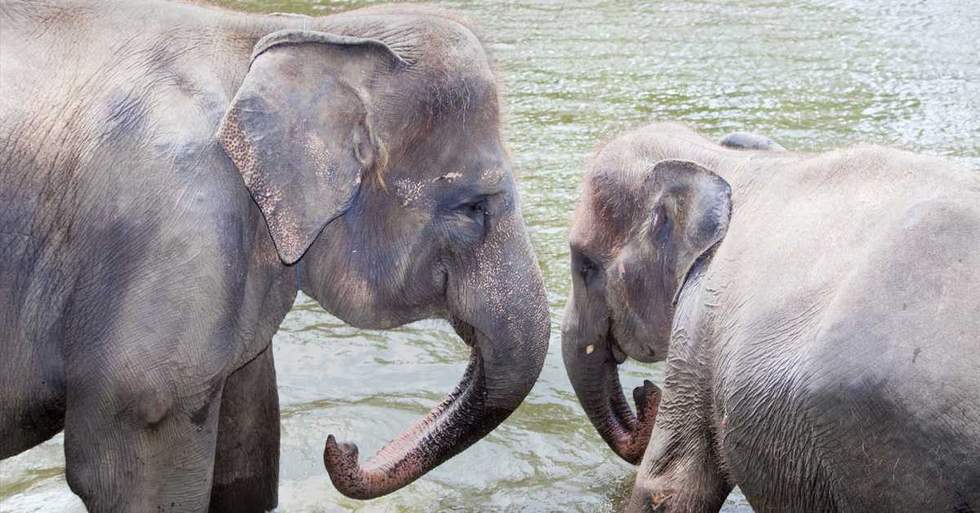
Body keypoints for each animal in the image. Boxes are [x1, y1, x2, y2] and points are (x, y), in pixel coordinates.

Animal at [0, 2, 550, 512]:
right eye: (472, 209)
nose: (342, 443)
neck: (276, 32)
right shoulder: (174, 226)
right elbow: (131, 460)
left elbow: (248, 443)